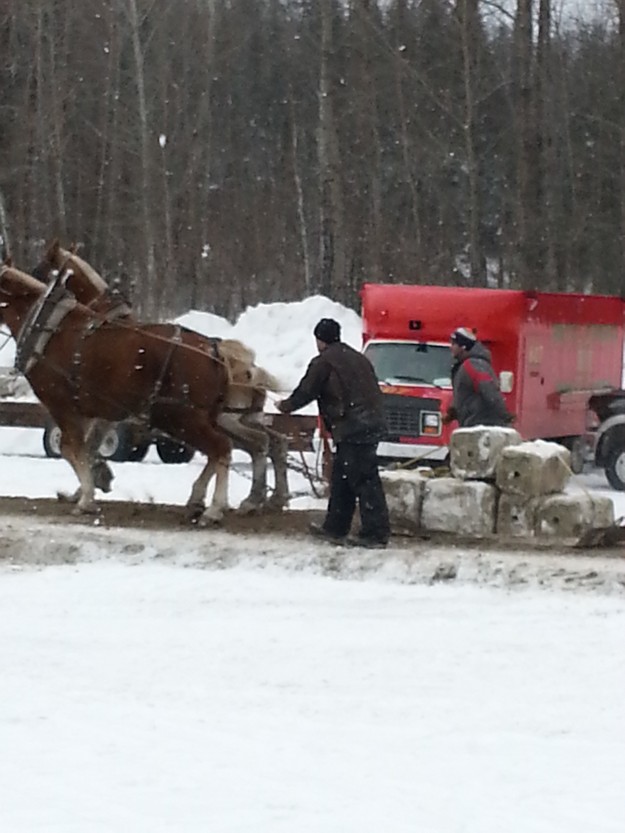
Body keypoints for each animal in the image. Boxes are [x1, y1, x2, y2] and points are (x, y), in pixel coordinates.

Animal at [0, 262, 233, 520]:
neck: (49, 328)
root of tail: (212, 350)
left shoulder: (61, 405)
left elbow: (70, 449)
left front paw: (86, 499)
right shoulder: (90, 411)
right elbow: (86, 449)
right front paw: (91, 485)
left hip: (181, 417)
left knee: (221, 448)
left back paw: (214, 508)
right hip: (193, 417)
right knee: (216, 452)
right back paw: (197, 499)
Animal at [31, 240, 290, 512]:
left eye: (41, 270)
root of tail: (246, 366)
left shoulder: (106, 411)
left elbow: (90, 446)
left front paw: (87, 489)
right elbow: (90, 447)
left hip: (211, 417)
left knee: (242, 446)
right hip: (233, 417)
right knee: (270, 442)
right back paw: (266, 498)